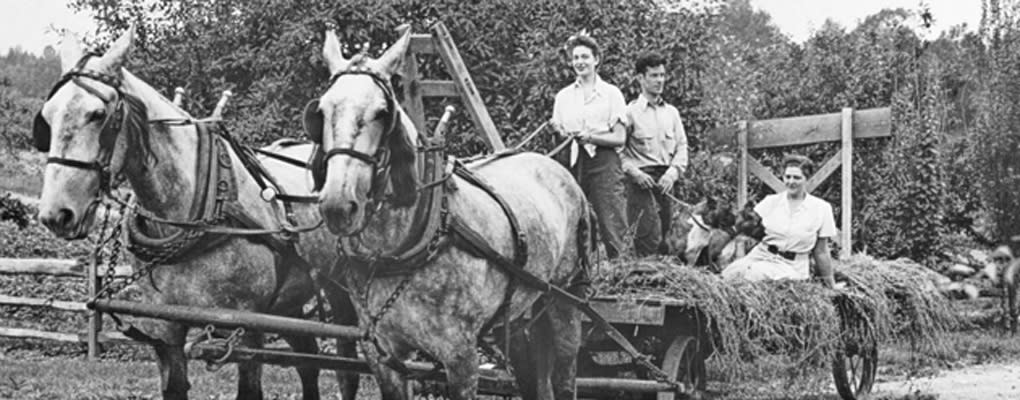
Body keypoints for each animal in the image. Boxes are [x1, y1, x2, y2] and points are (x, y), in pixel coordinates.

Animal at [34, 28, 359, 400]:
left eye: (98, 114)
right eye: (47, 117)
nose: (56, 214)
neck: (196, 208)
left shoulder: (246, 328)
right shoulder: (165, 329)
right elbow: (174, 386)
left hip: (340, 289)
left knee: (347, 367)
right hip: (287, 303)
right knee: (308, 362)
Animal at [306, 25, 587, 400]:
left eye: (382, 112)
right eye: (321, 112)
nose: (338, 204)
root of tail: (553, 165)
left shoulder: (461, 357)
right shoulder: (383, 355)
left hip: (566, 297)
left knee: (565, 374)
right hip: (520, 311)